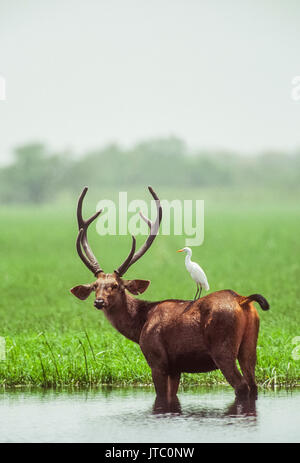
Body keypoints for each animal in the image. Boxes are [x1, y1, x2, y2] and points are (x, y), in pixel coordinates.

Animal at [71, 187, 270, 404]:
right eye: (95, 286)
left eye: (116, 285)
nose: (99, 301)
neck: (140, 324)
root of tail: (242, 300)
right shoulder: (176, 367)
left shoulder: (157, 360)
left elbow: (161, 397)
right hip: (249, 346)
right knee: (253, 384)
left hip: (222, 348)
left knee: (242, 385)